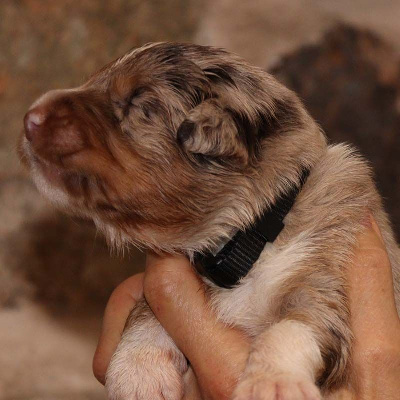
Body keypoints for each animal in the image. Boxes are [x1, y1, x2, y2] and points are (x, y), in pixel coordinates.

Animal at [20, 42, 400, 398]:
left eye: (139, 103)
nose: (29, 118)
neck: (249, 241)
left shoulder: (323, 277)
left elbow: (291, 327)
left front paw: (271, 382)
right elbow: (145, 312)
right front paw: (136, 371)